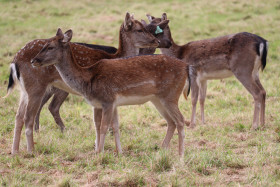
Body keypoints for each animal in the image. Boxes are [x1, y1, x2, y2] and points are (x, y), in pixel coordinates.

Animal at [5, 12, 165, 154]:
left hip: (25, 90)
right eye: (140, 29)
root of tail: (15, 60)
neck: (116, 56)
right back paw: (31, 150)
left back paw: (15, 151)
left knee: (18, 116)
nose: (157, 41)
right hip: (36, 86)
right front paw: (98, 147)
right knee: (29, 116)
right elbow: (100, 123)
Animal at [31, 27, 190, 156]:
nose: (34, 60)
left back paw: (181, 154)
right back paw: (162, 150)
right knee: (171, 121)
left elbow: (103, 127)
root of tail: (186, 67)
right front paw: (117, 152)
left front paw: (100, 153)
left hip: (171, 95)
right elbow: (110, 126)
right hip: (157, 99)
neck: (87, 79)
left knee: (181, 120)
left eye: (50, 47)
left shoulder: (107, 99)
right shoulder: (106, 103)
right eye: (43, 45)